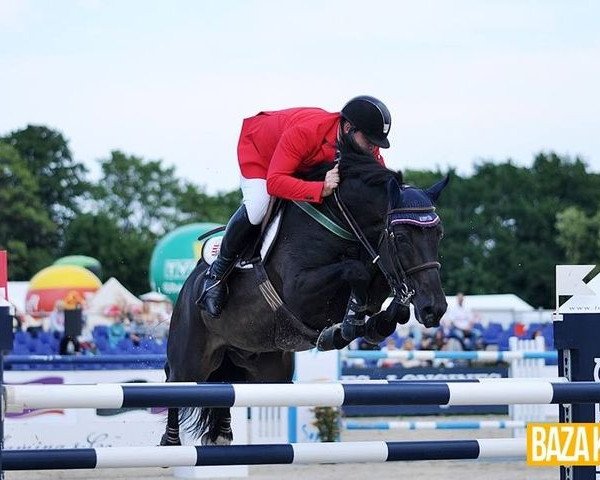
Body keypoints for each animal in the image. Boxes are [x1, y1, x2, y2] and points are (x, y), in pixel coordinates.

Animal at [162, 151, 448, 446]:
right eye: (401, 237)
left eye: (438, 234)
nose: (435, 309)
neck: (342, 224)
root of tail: (189, 286)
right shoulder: (300, 292)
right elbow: (355, 271)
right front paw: (345, 328)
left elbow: (386, 298)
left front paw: (370, 325)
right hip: (191, 362)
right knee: (174, 386)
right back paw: (171, 442)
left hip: (266, 371)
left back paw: (221, 437)